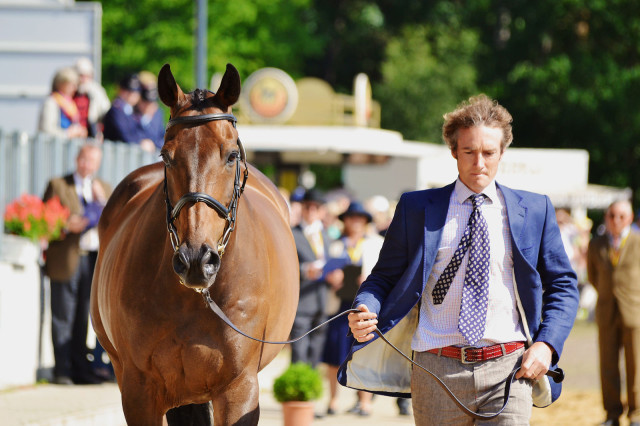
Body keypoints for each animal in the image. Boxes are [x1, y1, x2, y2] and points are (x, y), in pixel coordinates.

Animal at [90, 63, 300, 426]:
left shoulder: (239, 389)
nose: (195, 261)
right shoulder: (139, 390)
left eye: (231, 155)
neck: (194, 298)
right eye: (166, 156)